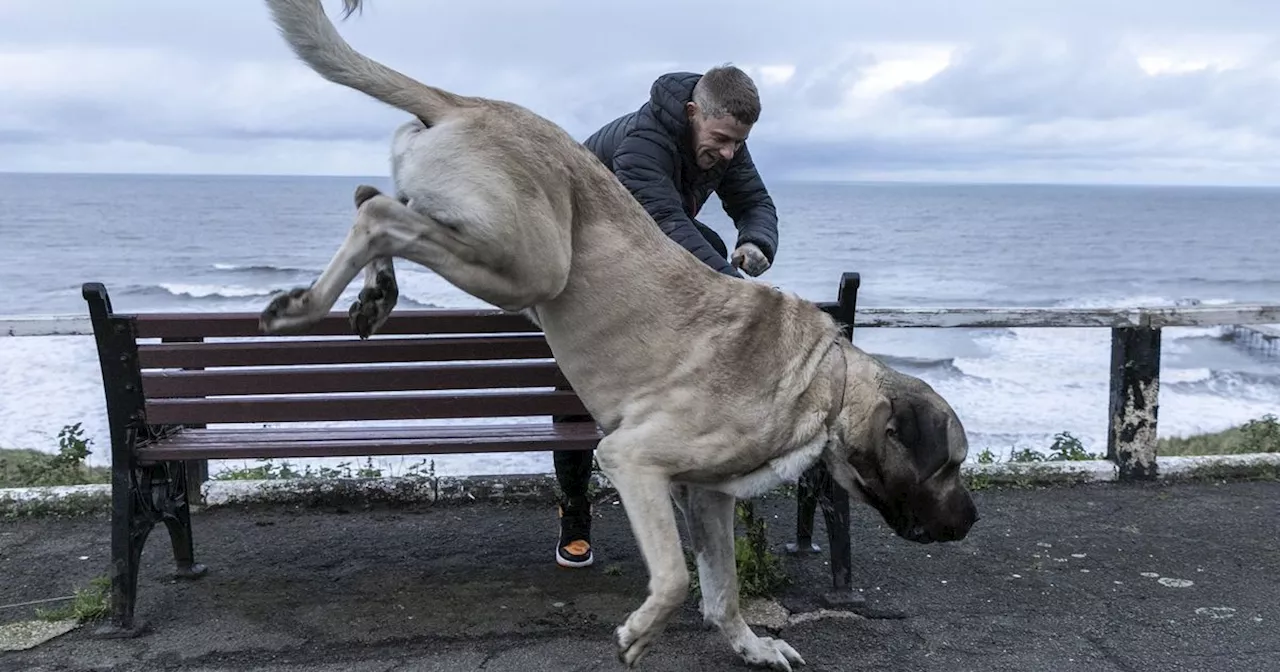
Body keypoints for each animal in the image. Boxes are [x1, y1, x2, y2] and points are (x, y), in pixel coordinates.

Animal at [257, 2, 977, 665]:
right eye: (950, 463)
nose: (971, 520)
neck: (824, 382)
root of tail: (472, 103)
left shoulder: (706, 496)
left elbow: (721, 590)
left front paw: (750, 645)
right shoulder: (635, 460)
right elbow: (675, 578)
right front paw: (641, 632)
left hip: (480, 232)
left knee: (369, 194)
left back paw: (375, 293)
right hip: (528, 261)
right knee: (378, 212)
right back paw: (305, 303)